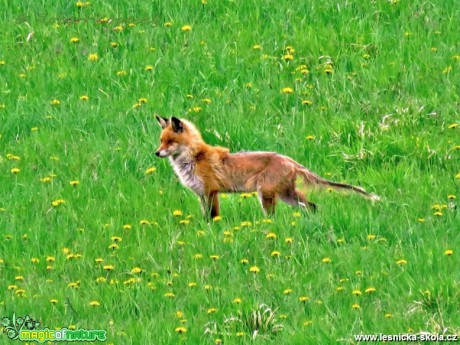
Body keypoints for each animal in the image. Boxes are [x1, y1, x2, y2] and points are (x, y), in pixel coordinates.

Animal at [155, 115, 378, 218]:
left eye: (170, 142)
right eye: (160, 141)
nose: (156, 153)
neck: (194, 158)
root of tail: (289, 160)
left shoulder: (211, 192)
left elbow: (213, 217)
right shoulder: (202, 194)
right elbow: (206, 217)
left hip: (267, 194)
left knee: (275, 215)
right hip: (287, 195)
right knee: (312, 206)